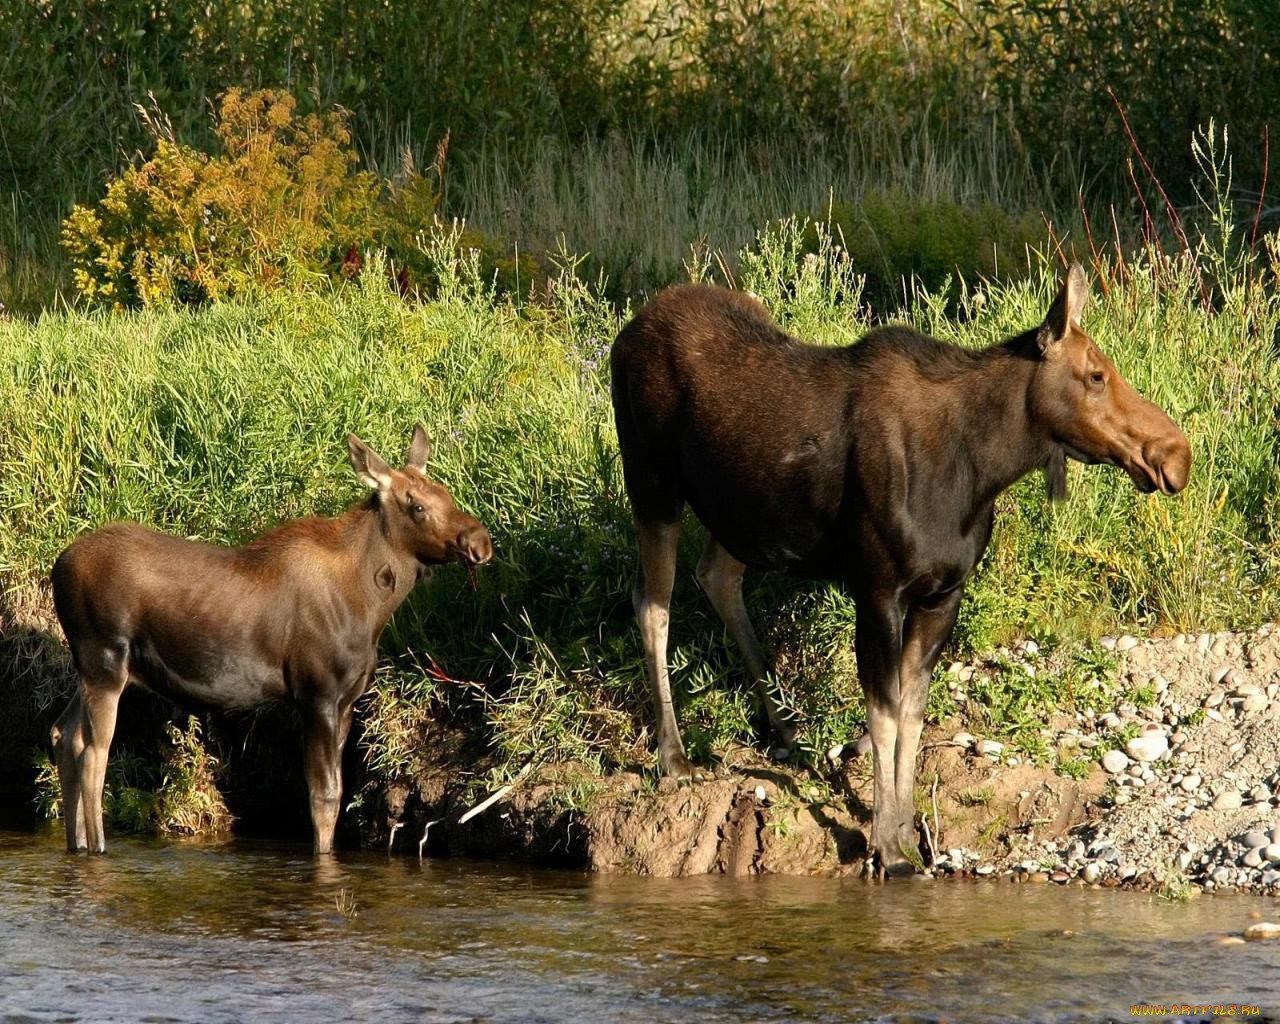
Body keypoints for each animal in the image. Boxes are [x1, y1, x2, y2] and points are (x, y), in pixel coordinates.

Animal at [49, 424, 488, 855]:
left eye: (446, 494)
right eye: (417, 506)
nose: (480, 542)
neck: (370, 605)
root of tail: (56, 568)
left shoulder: (346, 701)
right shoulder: (318, 694)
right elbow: (325, 797)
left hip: (89, 668)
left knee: (63, 734)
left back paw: (76, 844)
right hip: (105, 661)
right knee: (93, 753)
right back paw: (98, 848)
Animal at [609, 263, 1187, 870]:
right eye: (1096, 374)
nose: (1177, 453)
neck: (980, 470)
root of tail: (628, 329)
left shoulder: (943, 594)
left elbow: (912, 712)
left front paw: (911, 830)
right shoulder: (878, 589)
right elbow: (882, 712)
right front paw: (886, 843)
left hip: (740, 512)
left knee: (718, 576)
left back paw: (786, 729)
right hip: (651, 484)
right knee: (652, 604)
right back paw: (675, 757)